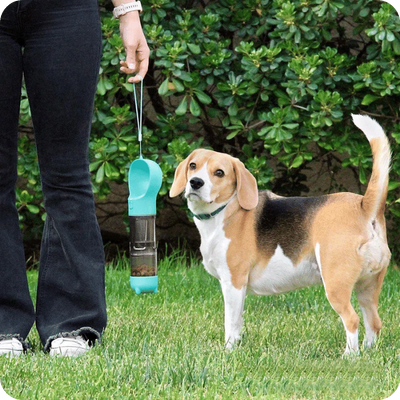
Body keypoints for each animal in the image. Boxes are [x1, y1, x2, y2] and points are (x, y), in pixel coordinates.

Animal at [169, 115, 390, 354]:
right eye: (193, 166)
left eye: (219, 173)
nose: (195, 182)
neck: (226, 211)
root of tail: (363, 206)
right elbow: (238, 324)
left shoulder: (233, 282)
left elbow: (231, 323)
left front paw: (228, 351)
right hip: (368, 287)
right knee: (374, 322)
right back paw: (367, 351)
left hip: (335, 284)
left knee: (352, 320)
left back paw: (349, 355)